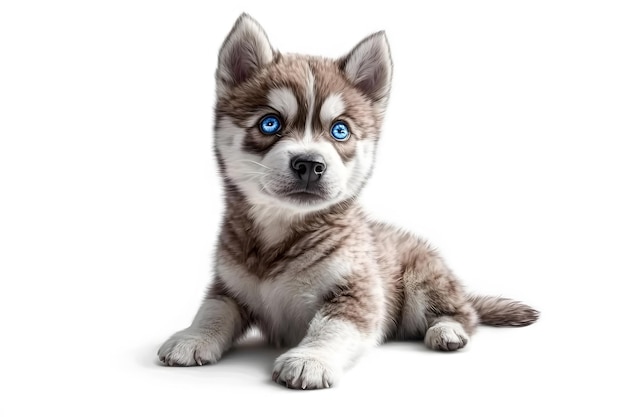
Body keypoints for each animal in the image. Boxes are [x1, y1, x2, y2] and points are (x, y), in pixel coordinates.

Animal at [156, 13, 536, 390]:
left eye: (340, 130)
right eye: (269, 123)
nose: (309, 164)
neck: (280, 233)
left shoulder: (359, 290)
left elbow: (332, 325)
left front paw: (310, 359)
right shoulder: (229, 285)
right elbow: (212, 310)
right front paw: (192, 337)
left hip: (425, 279)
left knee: (464, 314)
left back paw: (447, 330)